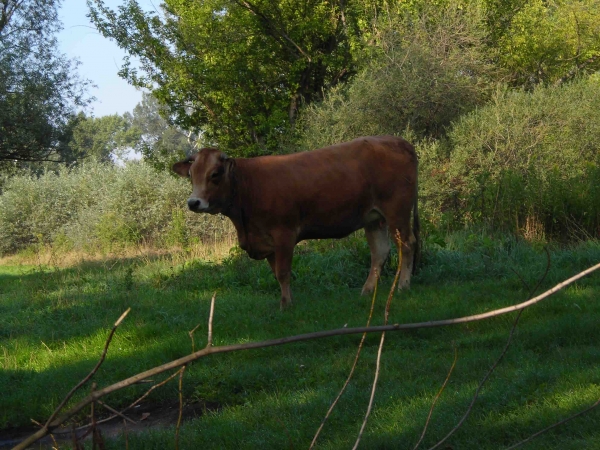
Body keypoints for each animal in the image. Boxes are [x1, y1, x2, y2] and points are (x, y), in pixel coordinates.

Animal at [171, 135, 420, 308]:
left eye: (215, 174)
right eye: (191, 174)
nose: (193, 202)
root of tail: (397, 140)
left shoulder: (284, 234)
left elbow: (283, 272)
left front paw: (286, 305)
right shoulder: (266, 241)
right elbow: (276, 273)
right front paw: (288, 300)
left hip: (397, 211)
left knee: (407, 245)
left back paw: (403, 286)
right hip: (374, 218)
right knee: (380, 252)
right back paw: (367, 291)